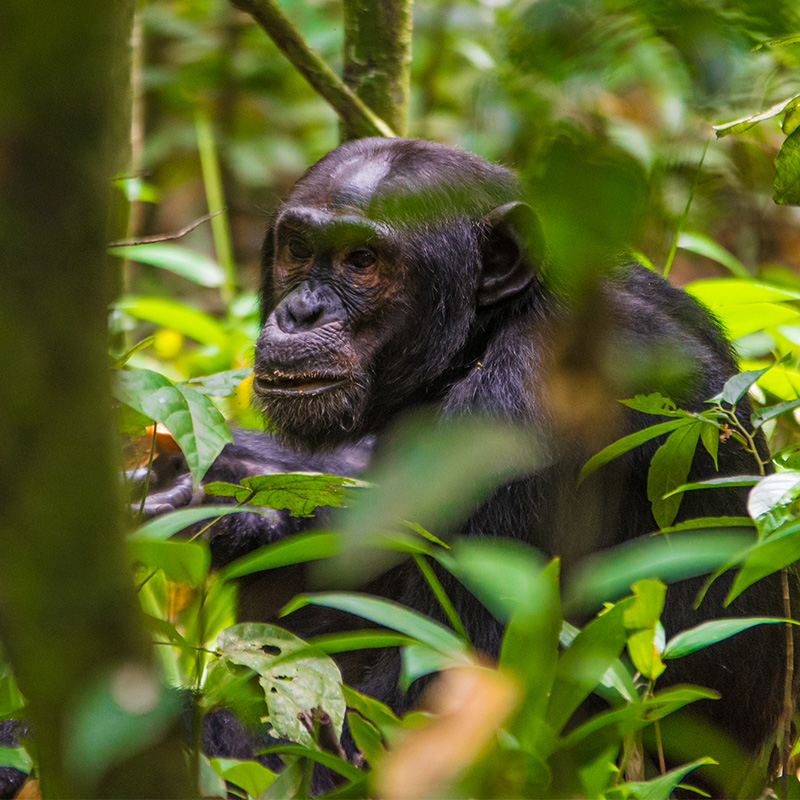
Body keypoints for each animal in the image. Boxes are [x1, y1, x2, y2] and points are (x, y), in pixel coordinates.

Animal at [0, 139, 788, 800]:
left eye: (361, 261)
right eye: (298, 249)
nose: (300, 310)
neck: (485, 331)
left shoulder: (524, 414)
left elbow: (418, 722)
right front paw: (189, 488)